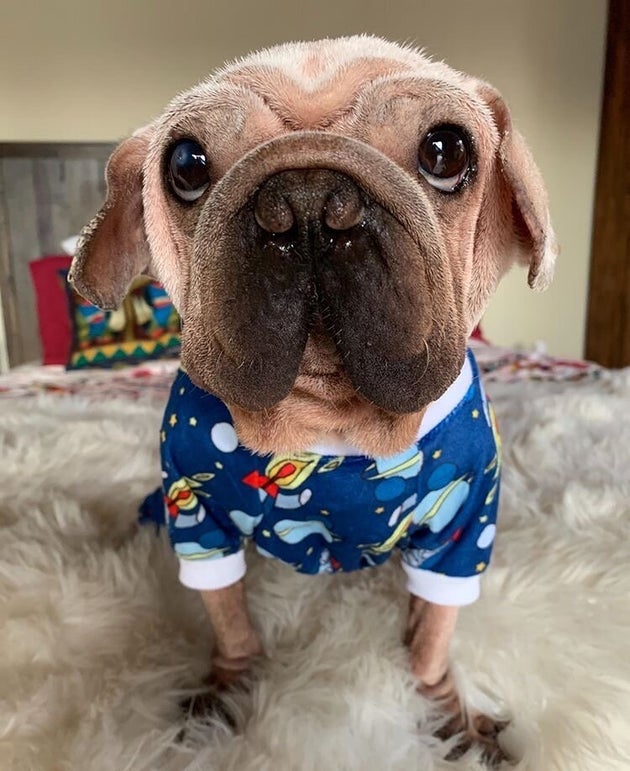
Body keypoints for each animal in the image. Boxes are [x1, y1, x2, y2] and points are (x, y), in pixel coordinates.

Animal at [69, 34, 556, 764]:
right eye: (186, 164)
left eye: (446, 151)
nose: (306, 201)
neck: (326, 422)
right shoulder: (197, 514)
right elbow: (229, 618)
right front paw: (228, 689)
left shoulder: (461, 527)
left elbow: (431, 638)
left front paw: (444, 714)